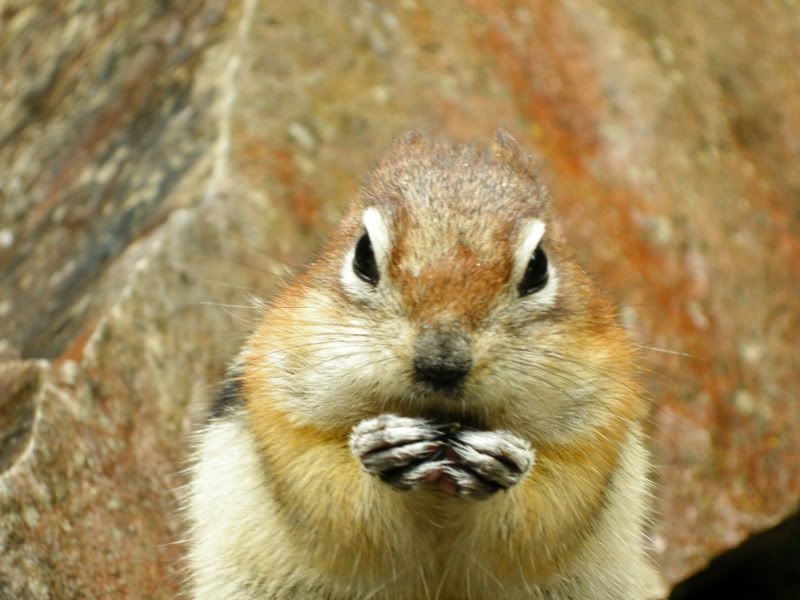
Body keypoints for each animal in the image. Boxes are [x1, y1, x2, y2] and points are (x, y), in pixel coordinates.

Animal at [186, 130, 659, 599]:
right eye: (362, 255)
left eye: (538, 267)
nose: (441, 364)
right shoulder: (282, 413)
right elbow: (329, 498)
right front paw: (383, 448)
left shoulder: (594, 436)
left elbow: (544, 516)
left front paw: (502, 462)